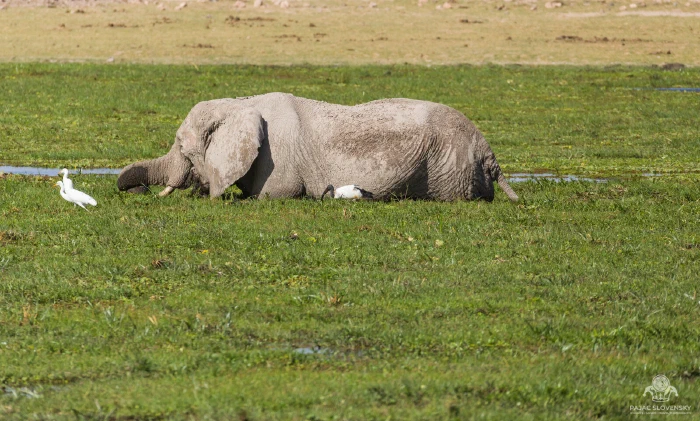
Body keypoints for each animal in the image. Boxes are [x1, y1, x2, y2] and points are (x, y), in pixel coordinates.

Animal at [117, 92, 519, 202]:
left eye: (182, 149)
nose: (136, 191)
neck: (237, 104)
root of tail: (489, 154)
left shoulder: (276, 159)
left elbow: (267, 196)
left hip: (449, 168)